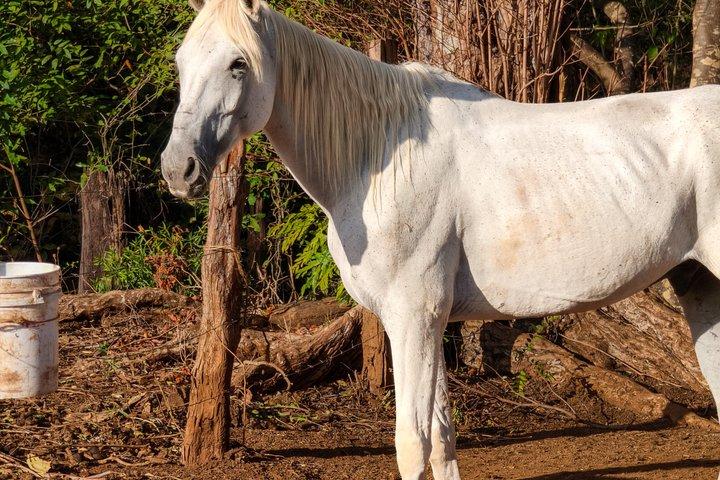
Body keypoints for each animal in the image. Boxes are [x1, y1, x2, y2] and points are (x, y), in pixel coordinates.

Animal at [160, 0, 720, 478]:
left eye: (238, 63)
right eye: (181, 61)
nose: (177, 169)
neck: (378, 155)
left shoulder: (415, 314)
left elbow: (413, 442)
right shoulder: (424, 320)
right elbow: (443, 439)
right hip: (700, 290)